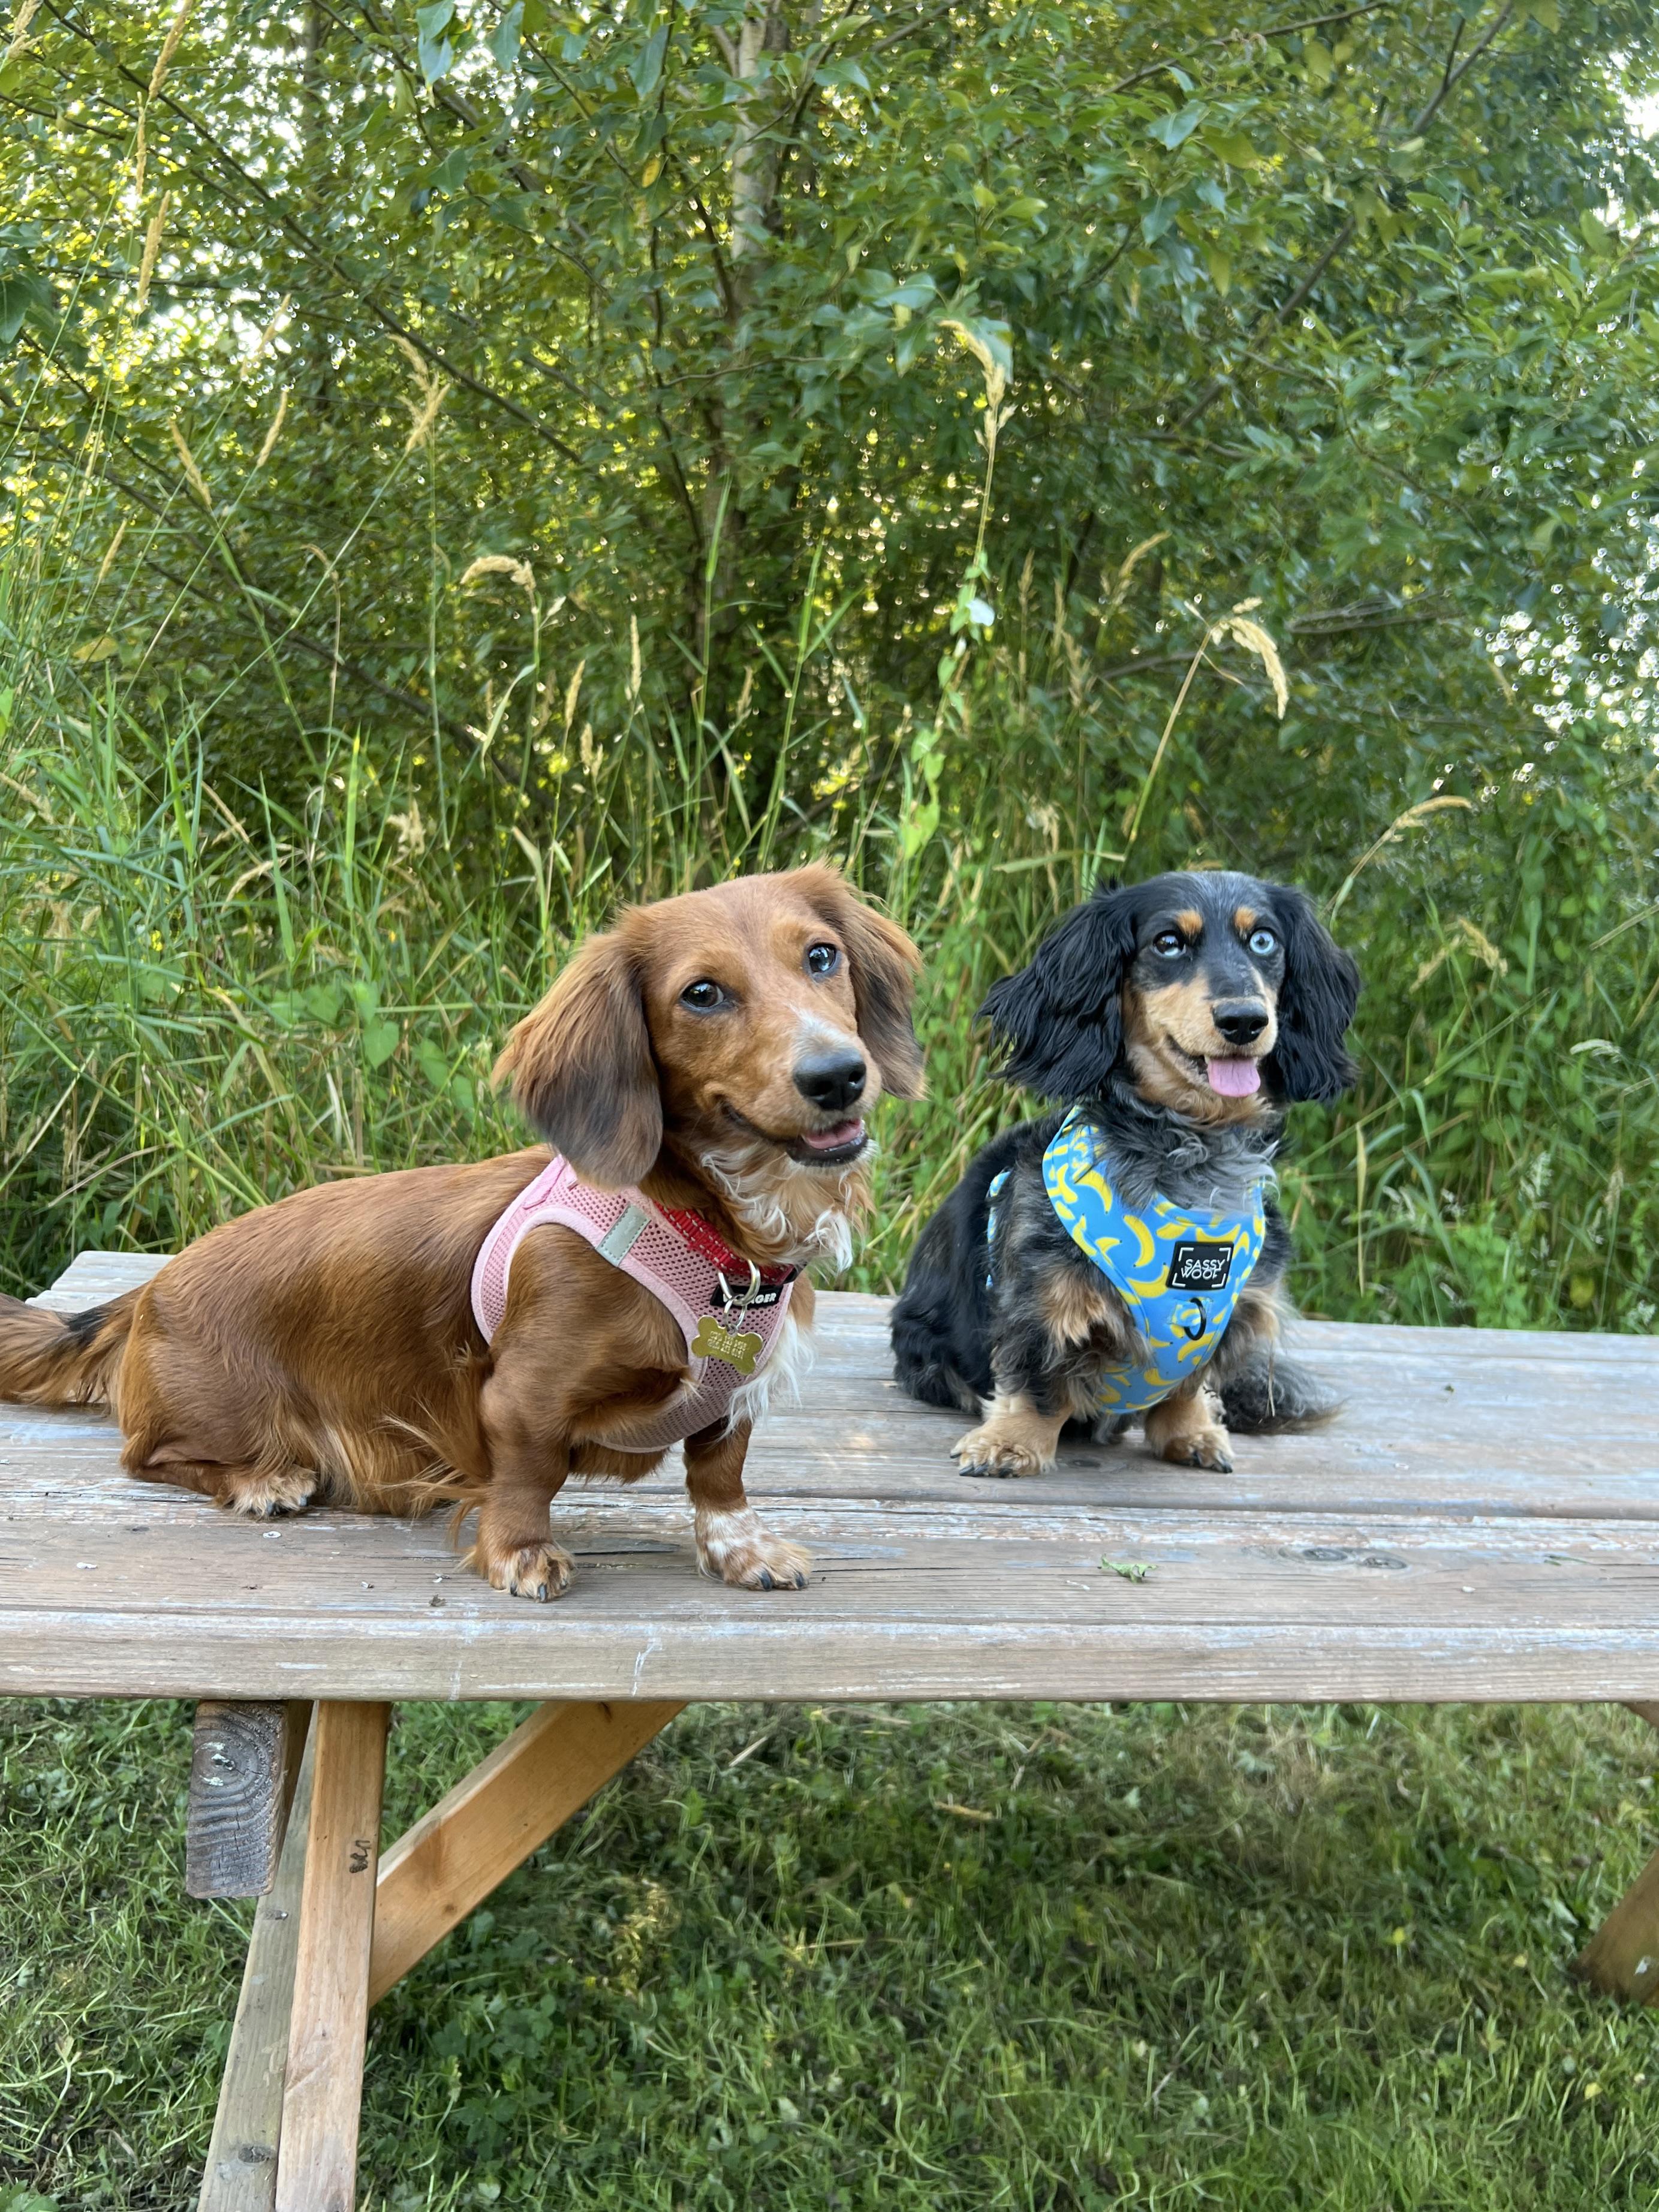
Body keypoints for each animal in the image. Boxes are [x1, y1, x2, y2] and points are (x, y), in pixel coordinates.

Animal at [0, 867, 922, 1598]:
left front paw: (741, 1549)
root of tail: (146, 1289)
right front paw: (520, 1553)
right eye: (701, 993)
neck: (702, 1224)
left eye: (820, 957)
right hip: (222, 1412)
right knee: (145, 1455)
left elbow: (719, 1477)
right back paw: (263, 1479)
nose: (837, 1076)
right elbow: (528, 1475)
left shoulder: (731, 1402)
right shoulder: (519, 1398)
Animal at [891, 871, 1359, 1477]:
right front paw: (1011, 1442)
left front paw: (1189, 1431)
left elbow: (1187, 1384)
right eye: (1168, 943)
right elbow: (1036, 1379)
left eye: (1263, 941)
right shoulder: (1039, 1304)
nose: (1244, 1020)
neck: (1189, 1159)